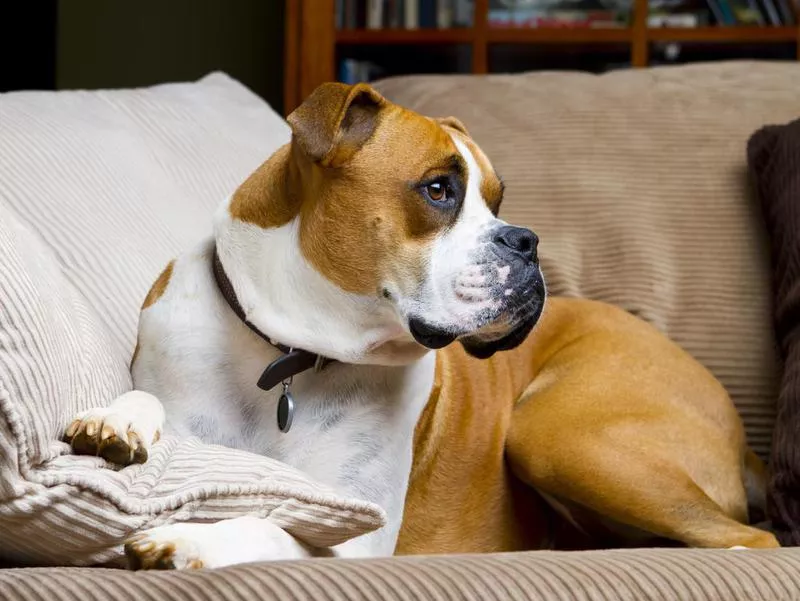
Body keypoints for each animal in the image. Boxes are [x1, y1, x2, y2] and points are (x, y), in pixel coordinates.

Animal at [65, 81, 780, 568]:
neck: (287, 353)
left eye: (496, 200)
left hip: (554, 434)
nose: (526, 241)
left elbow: (283, 525)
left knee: (755, 539)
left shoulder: (360, 538)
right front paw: (118, 421)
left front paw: (189, 537)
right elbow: (151, 402)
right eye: (439, 190)